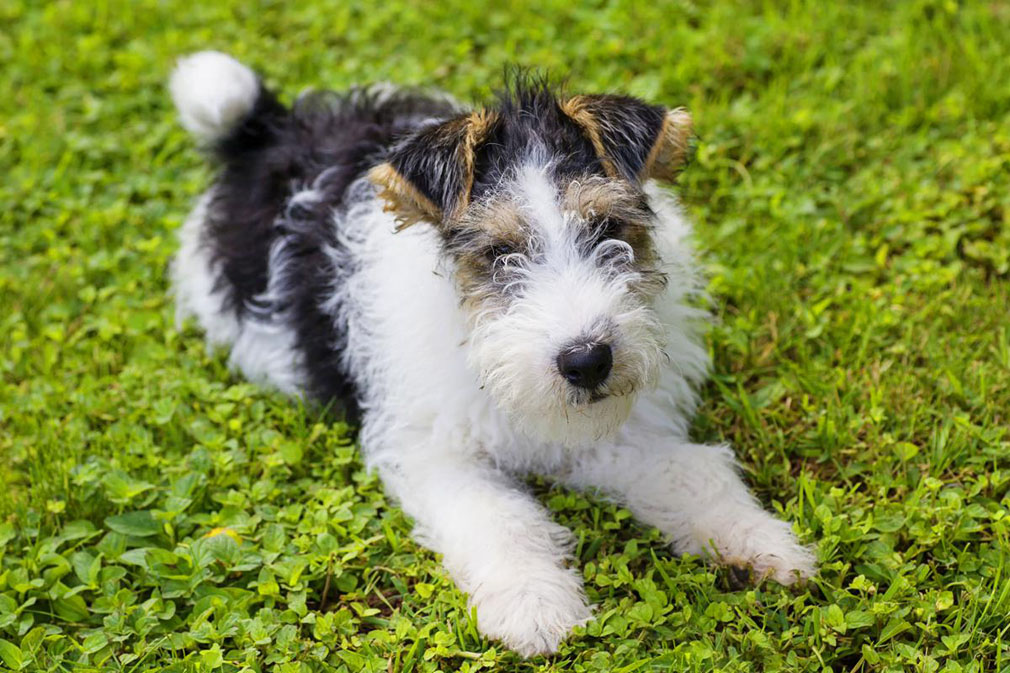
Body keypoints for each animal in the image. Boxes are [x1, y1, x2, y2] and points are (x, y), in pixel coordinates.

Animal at [165, 52, 812, 654]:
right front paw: (535, 607)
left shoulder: (615, 431)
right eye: (500, 252)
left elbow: (691, 473)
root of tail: (269, 128)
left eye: (607, 227)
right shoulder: (436, 451)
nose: (587, 361)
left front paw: (758, 541)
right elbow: (501, 518)